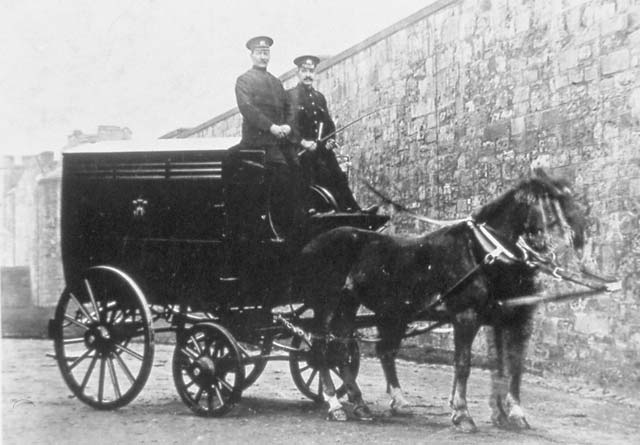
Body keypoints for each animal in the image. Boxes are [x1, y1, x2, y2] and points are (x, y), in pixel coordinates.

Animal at [294, 169, 584, 426]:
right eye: (552, 202)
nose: (578, 239)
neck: (481, 252)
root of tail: (311, 245)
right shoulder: (466, 317)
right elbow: (464, 364)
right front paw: (463, 414)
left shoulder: (504, 319)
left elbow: (508, 366)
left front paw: (508, 414)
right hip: (326, 304)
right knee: (321, 348)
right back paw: (334, 404)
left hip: (349, 305)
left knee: (343, 348)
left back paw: (360, 404)